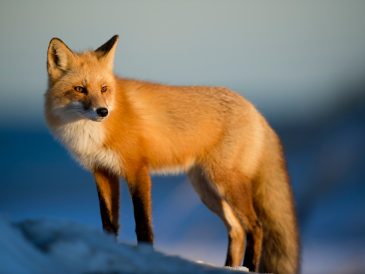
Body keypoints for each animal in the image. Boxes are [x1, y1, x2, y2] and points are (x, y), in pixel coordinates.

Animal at [43, 35, 298, 272]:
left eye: (104, 89)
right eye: (80, 89)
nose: (102, 111)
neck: (92, 133)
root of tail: (255, 110)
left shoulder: (137, 170)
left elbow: (143, 224)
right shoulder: (102, 172)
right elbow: (109, 224)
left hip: (226, 183)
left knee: (255, 227)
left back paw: (250, 268)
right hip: (206, 190)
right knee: (236, 230)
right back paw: (230, 267)